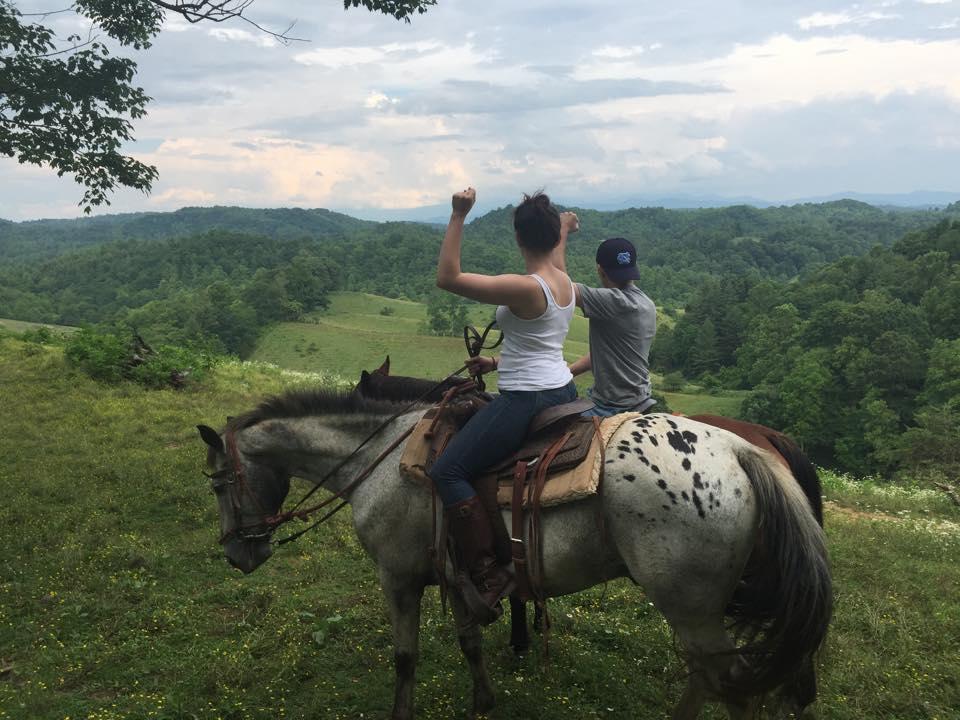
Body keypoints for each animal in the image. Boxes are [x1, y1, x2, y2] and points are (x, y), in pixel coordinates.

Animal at [197, 390, 832, 716]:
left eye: (219, 484)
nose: (235, 555)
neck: (380, 459)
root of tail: (742, 451)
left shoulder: (397, 578)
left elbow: (405, 657)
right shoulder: (456, 572)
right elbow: (470, 641)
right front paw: (484, 700)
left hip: (692, 605)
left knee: (731, 683)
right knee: (712, 678)